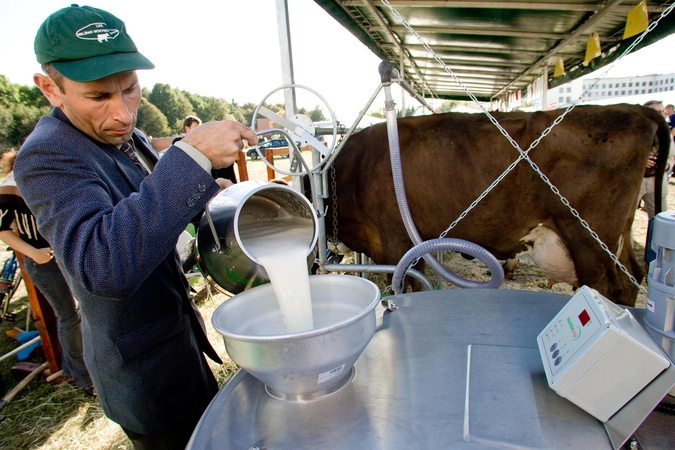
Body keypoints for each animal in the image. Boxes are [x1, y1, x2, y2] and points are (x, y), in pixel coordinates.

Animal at [328, 105, 672, 308]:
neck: (353, 169)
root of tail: (634, 108)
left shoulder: (398, 244)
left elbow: (410, 285)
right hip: (617, 237)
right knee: (633, 276)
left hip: (590, 240)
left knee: (611, 288)